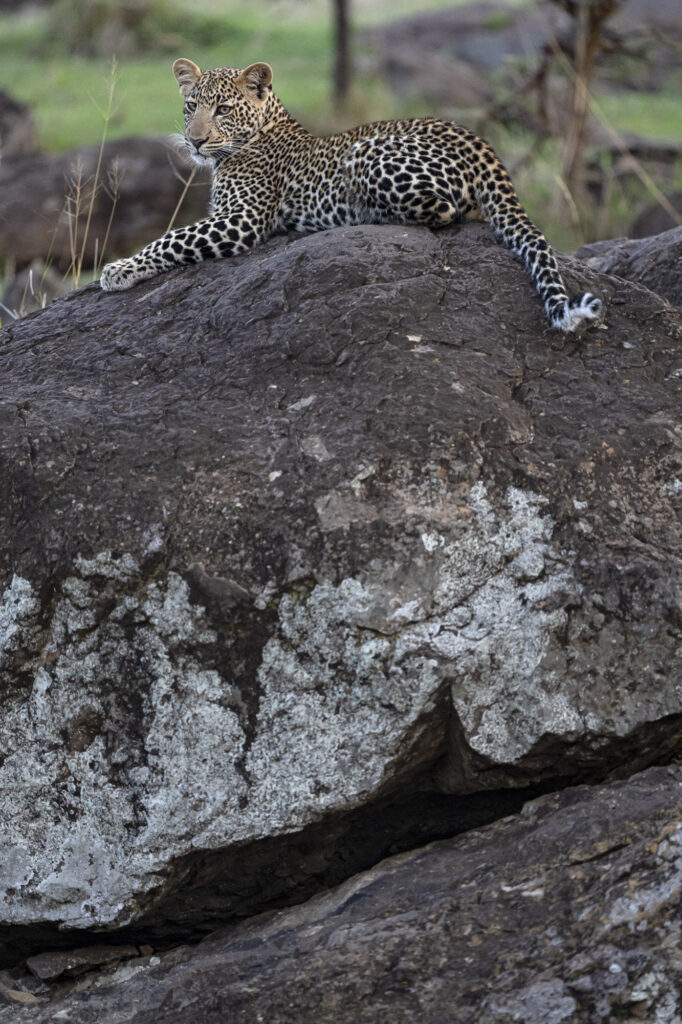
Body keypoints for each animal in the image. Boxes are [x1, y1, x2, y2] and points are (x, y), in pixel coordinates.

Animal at [100, 58, 603, 333]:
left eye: (222, 109)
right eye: (191, 106)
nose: (196, 141)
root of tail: (479, 142)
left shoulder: (240, 220)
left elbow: (171, 237)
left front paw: (119, 270)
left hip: (368, 152)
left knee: (449, 211)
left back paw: (360, 216)